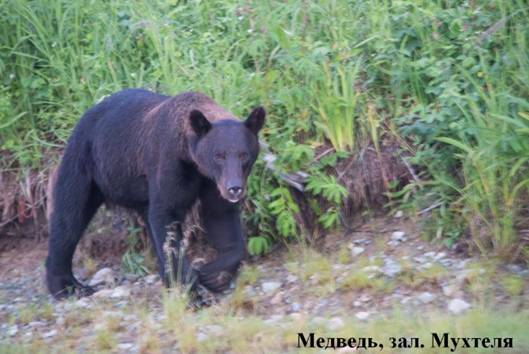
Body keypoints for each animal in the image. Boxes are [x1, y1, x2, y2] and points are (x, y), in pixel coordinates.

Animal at [46, 88, 264, 298]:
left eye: (244, 155)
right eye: (219, 155)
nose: (234, 188)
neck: (192, 160)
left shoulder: (212, 181)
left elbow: (220, 215)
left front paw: (212, 275)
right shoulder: (171, 164)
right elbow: (167, 217)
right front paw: (191, 291)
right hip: (86, 163)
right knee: (69, 216)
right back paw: (66, 285)